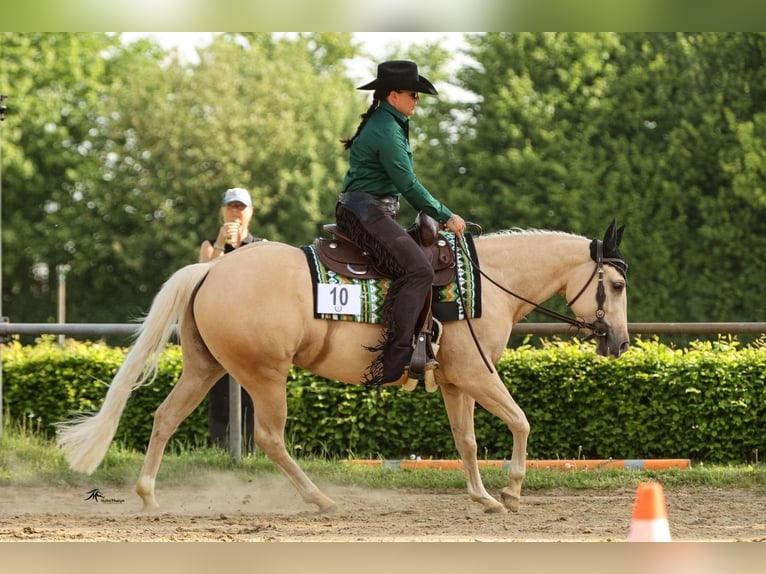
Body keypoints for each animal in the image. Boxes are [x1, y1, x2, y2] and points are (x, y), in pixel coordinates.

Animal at [56, 220, 629, 515]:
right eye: (618, 285)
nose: (620, 343)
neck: (483, 285)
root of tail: (212, 268)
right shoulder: (477, 375)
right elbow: (520, 421)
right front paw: (509, 490)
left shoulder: (456, 382)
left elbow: (466, 442)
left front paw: (483, 497)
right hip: (265, 375)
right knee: (269, 438)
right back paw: (321, 499)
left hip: (206, 368)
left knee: (165, 418)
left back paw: (149, 496)